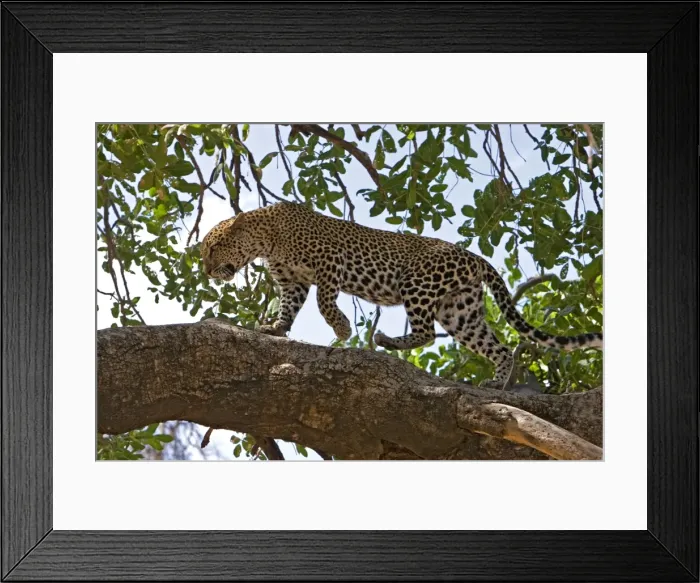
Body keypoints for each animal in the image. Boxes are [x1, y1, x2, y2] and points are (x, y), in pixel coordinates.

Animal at [200, 201, 602, 389]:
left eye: (212, 247)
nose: (205, 270)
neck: (265, 239)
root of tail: (473, 256)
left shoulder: (330, 264)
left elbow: (324, 302)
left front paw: (342, 329)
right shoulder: (292, 282)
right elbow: (290, 308)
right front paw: (275, 329)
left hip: (418, 285)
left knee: (425, 333)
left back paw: (386, 340)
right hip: (460, 310)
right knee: (498, 347)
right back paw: (495, 382)